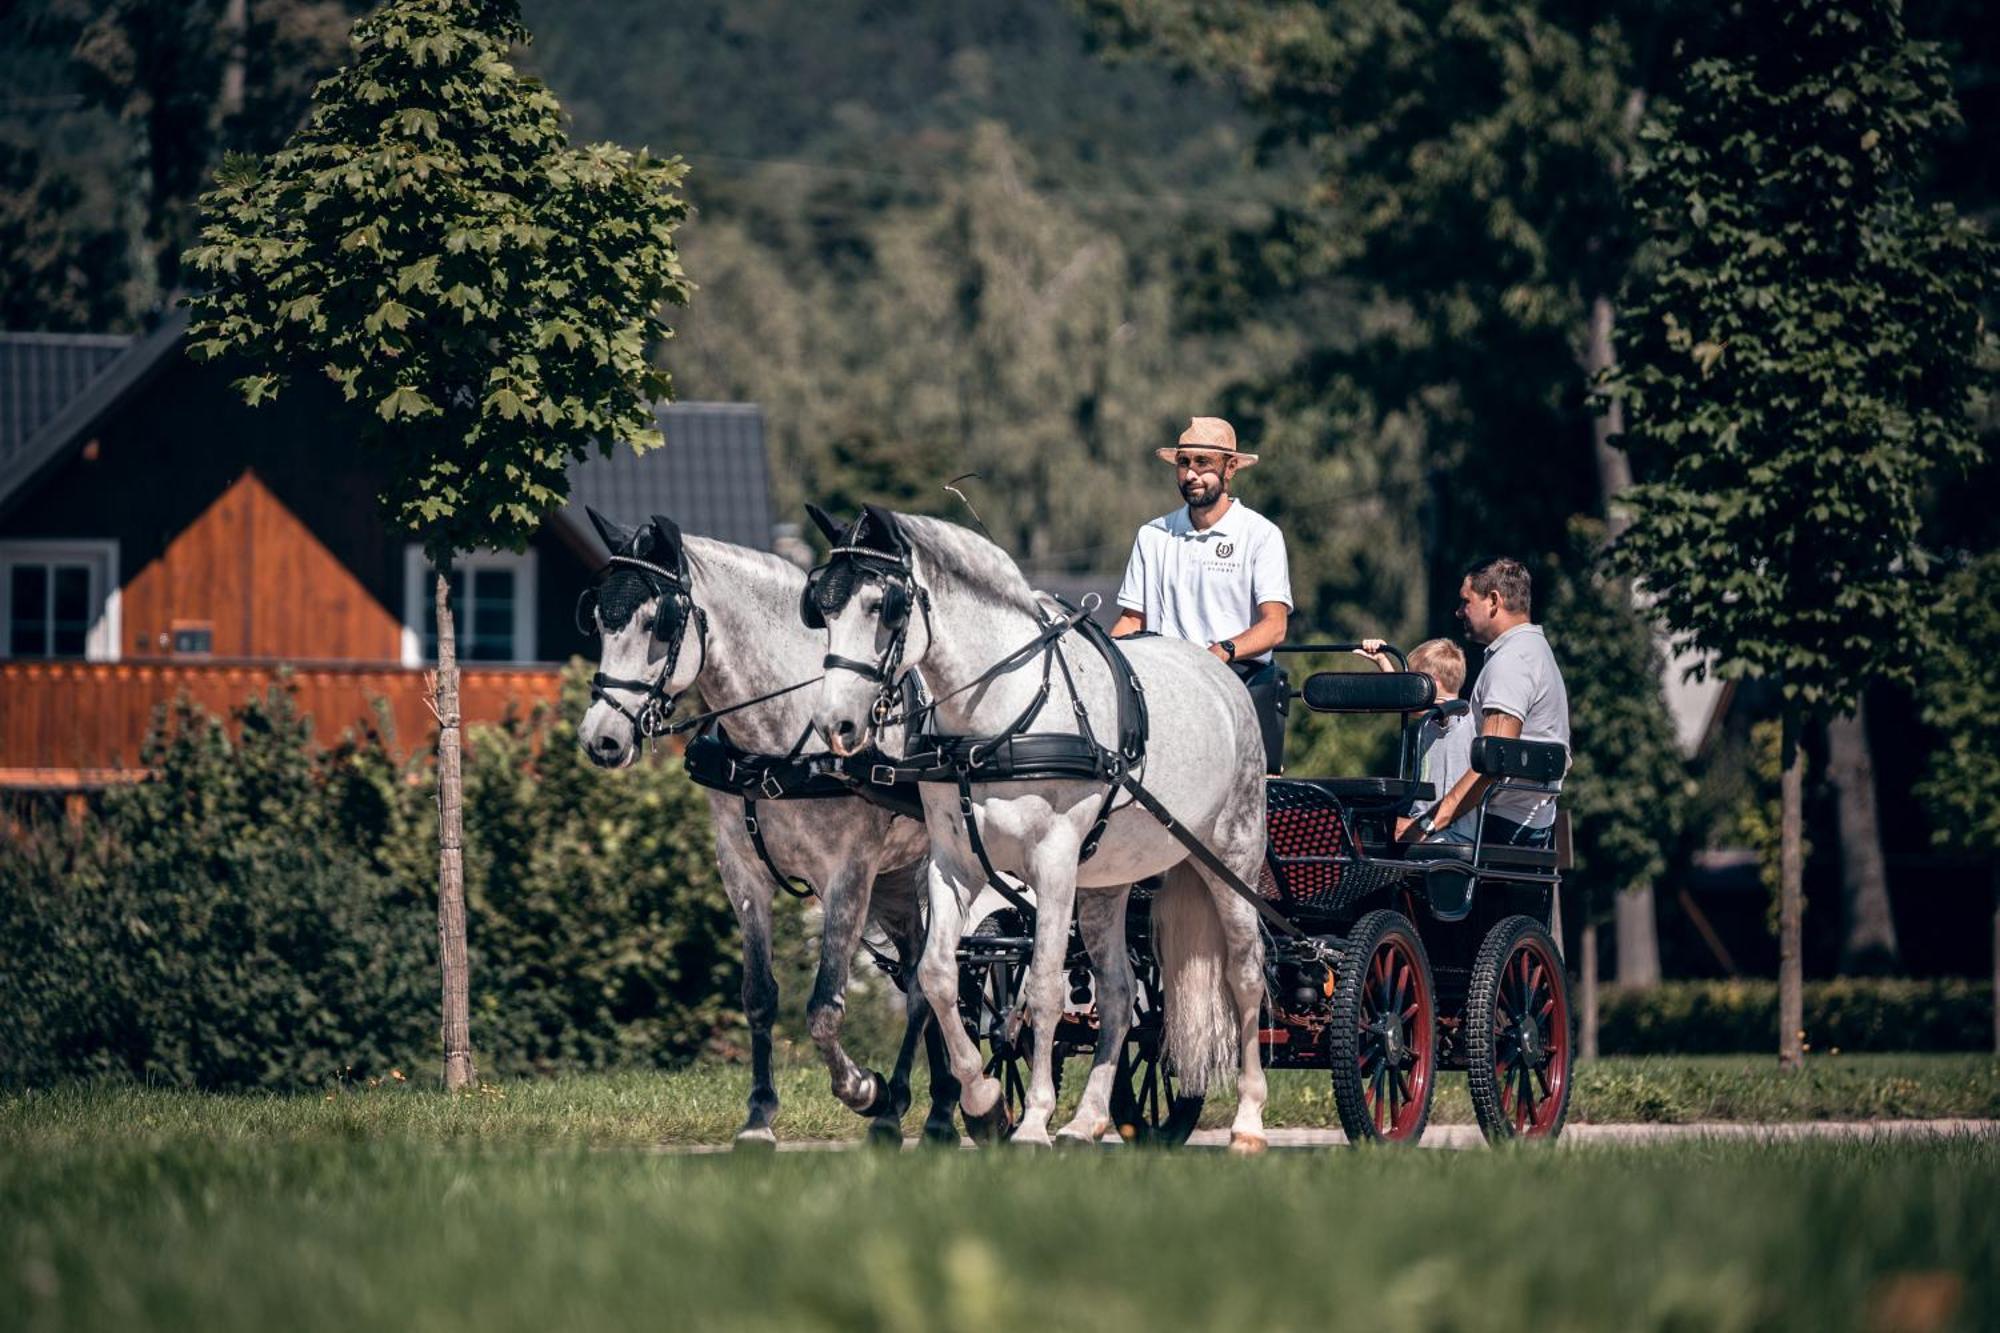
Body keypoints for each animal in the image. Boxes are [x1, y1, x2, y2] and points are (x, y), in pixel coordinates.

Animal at [572, 506, 960, 1144]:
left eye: (659, 623)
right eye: (599, 617)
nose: (600, 738)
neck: (780, 743)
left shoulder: (847, 876)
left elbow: (824, 1007)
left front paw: (864, 1088)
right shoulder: (741, 870)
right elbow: (759, 995)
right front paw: (759, 1116)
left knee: (936, 980)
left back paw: (926, 1110)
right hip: (899, 881)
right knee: (917, 977)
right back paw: (939, 1100)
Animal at [808, 504, 1264, 1144]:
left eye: (883, 606)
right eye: (820, 609)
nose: (835, 724)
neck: (995, 719)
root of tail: (1220, 674)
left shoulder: (1052, 862)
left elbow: (1044, 990)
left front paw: (1033, 1121)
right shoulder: (954, 863)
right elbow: (938, 976)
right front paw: (985, 1101)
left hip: (1232, 855)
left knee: (1245, 976)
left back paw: (1248, 1120)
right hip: (1105, 882)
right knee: (1120, 993)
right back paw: (1089, 1118)